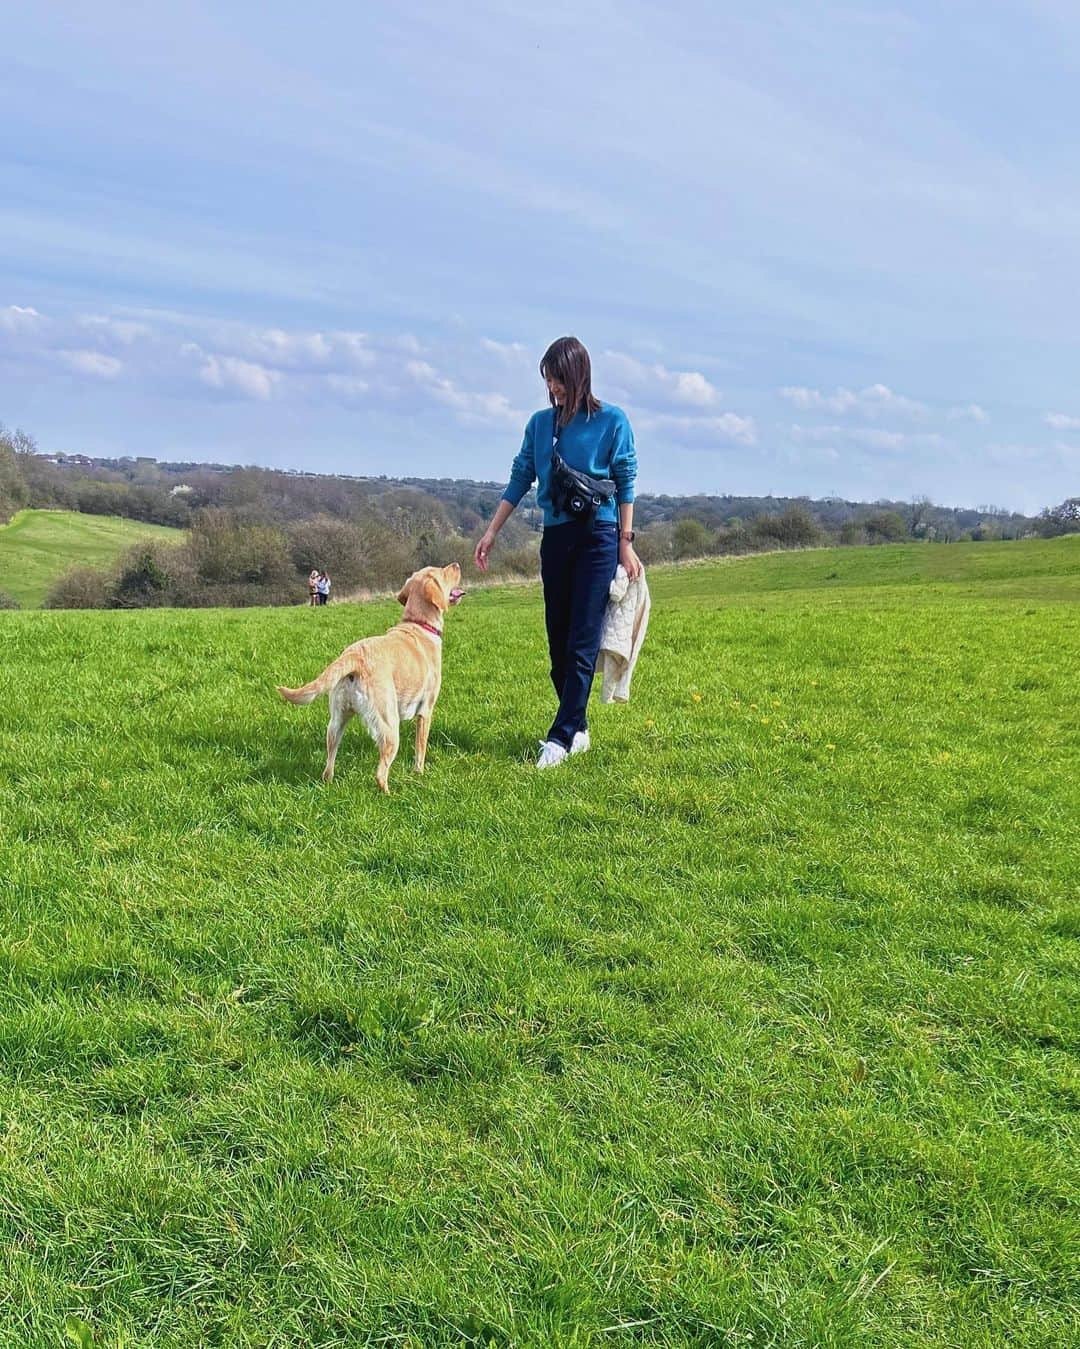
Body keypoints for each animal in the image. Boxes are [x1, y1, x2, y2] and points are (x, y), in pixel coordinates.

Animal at [276, 561, 461, 787]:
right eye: (443, 572)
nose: (457, 564)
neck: (418, 623)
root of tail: (355, 656)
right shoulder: (425, 711)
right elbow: (420, 749)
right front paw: (419, 774)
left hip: (336, 721)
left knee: (329, 765)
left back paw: (329, 782)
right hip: (389, 725)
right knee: (381, 772)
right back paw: (391, 793)